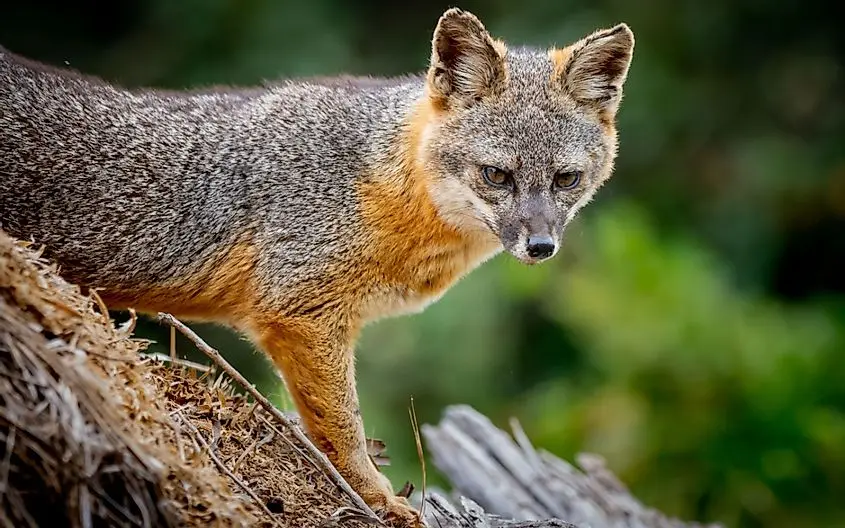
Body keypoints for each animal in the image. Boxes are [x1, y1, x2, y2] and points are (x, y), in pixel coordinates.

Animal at [0, 8, 632, 528]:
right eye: (497, 175)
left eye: (566, 179)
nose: (541, 246)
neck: (382, 183)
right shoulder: (302, 313)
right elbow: (342, 429)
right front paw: (376, 500)